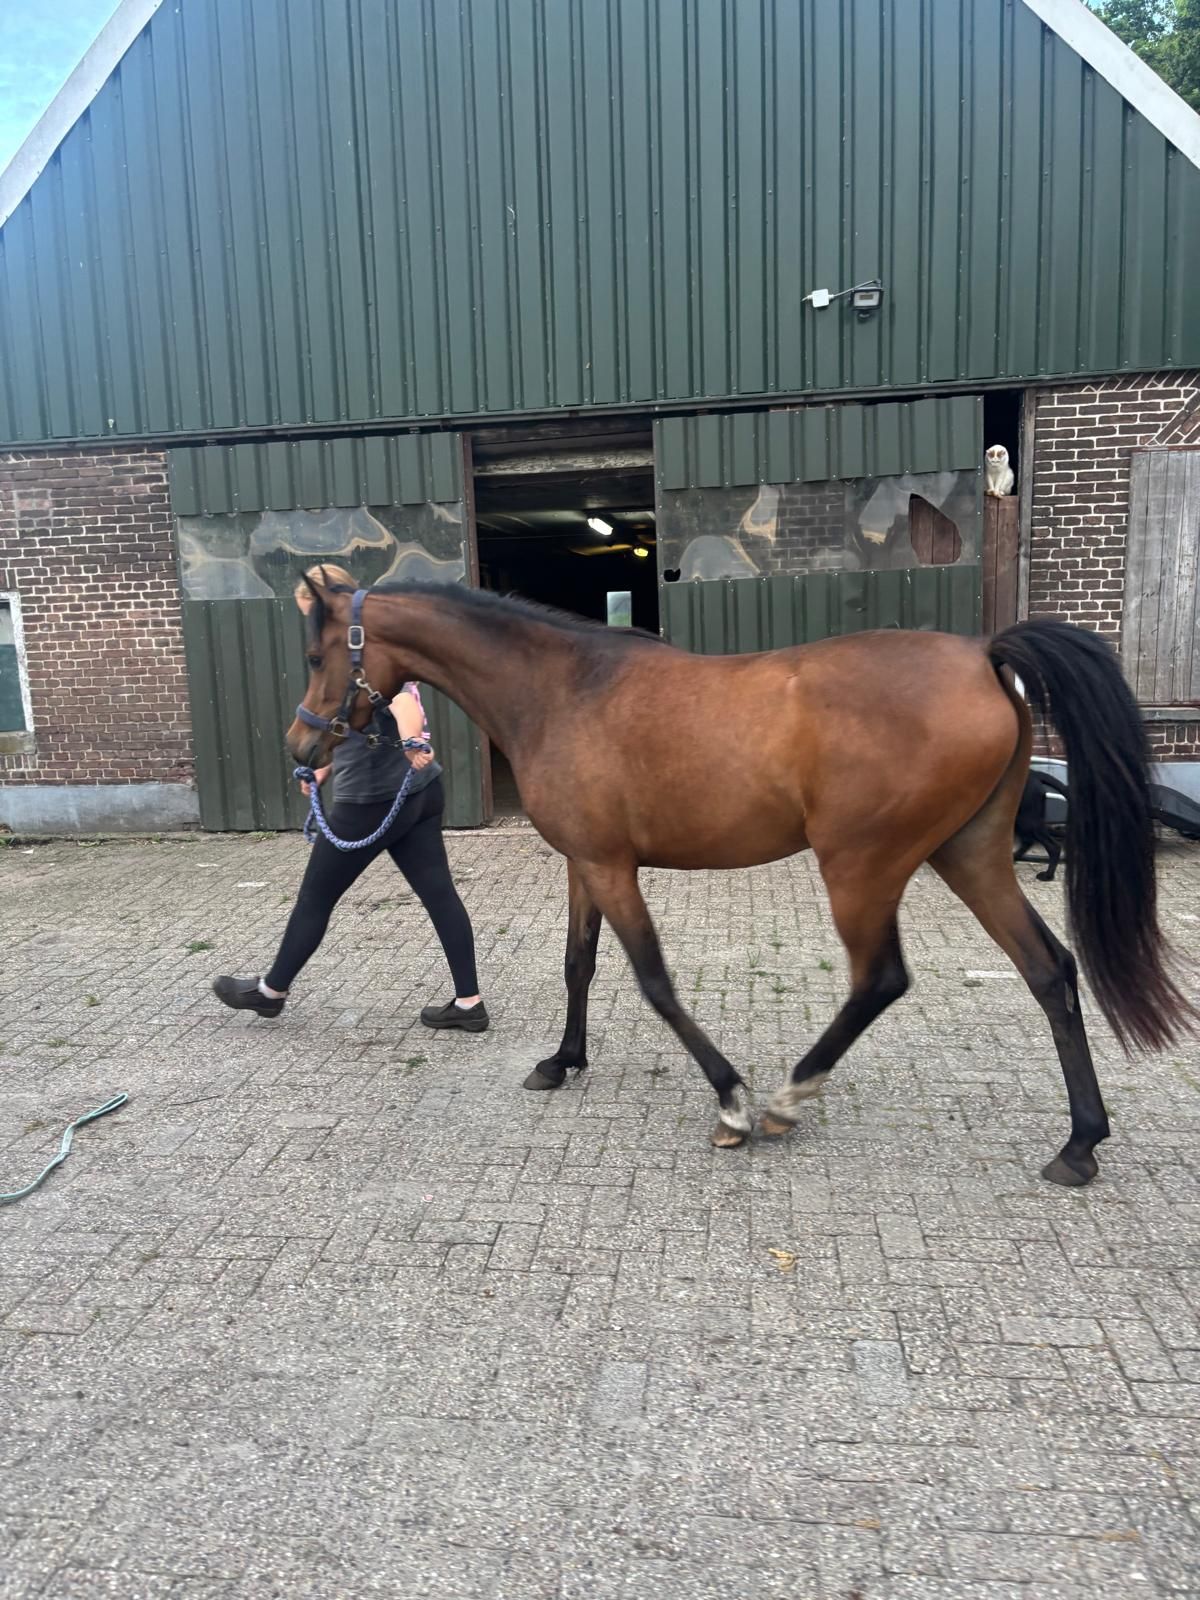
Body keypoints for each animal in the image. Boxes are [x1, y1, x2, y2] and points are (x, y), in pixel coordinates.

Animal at [287, 577, 1194, 1188]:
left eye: (317, 653)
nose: (303, 748)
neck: (564, 689)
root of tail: (982, 655)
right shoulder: (587, 861)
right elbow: (580, 963)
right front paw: (562, 1060)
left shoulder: (613, 868)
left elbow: (653, 981)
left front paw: (727, 1100)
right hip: (970, 857)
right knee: (1049, 970)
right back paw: (1080, 1143)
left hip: (862, 868)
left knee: (882, 979)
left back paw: (786, 1100)